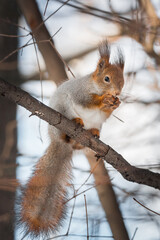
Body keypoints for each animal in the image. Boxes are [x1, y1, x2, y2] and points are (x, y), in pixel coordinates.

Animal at [18, 41, 124, 238]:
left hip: (95, 126)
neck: (94, 85)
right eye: (106, 78)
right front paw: (104, 100)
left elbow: (105, 113)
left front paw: (115, 104)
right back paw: (76, 122)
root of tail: (61, 143)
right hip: (63, 110)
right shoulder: (79, 92)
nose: (117, 92)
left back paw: (93, 133)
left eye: (123, 80)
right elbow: (87, 100)